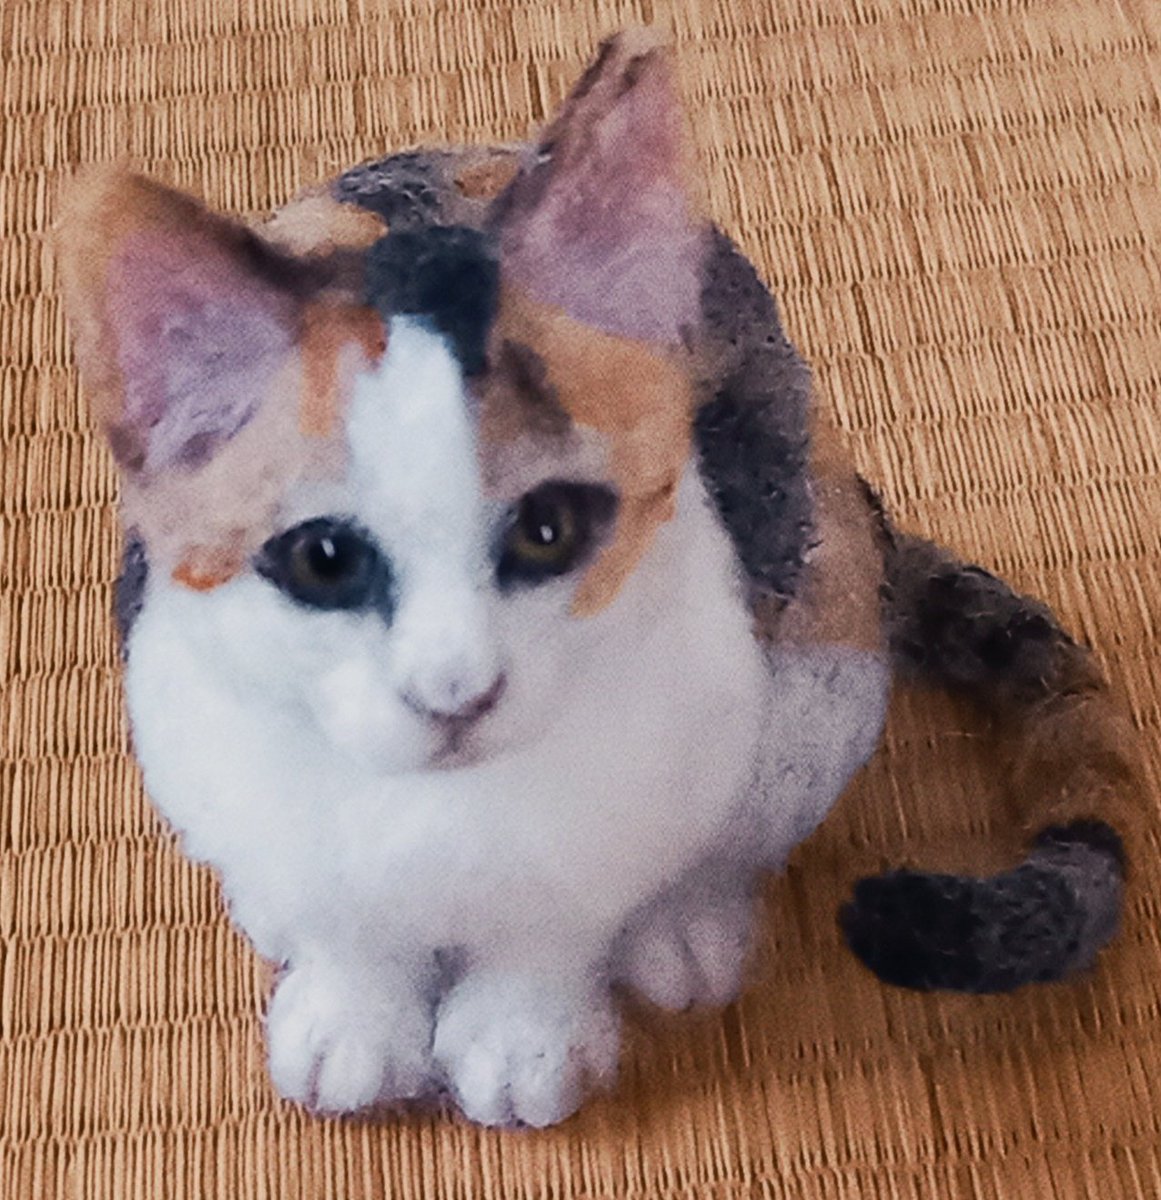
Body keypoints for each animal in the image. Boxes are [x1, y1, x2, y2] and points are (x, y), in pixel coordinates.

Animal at [57, 30, 1140, 1128]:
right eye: (324, 559)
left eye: (548, 530)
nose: (455, 690)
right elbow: (341, 915)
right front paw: (352, 1015)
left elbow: (561, 922)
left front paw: (521, 1033)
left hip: (816, 628)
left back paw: (690, 933)